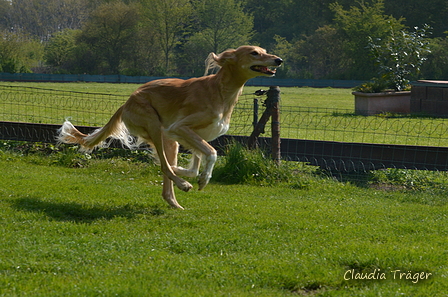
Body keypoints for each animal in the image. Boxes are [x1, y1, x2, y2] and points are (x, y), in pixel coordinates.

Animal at [56, 46, 280, 208]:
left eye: (264, 50)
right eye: (254, 53)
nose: (279, 60)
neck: (220, 90)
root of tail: (127, 102)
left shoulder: (196, 134)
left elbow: (196, 164)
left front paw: (185, 171)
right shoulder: (180, 128)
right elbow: (212, 153)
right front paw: (203, 179)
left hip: (170, 141)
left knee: (166, 171)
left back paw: (174, 199)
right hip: (156, 127)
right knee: (163, 165)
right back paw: (182, 185)